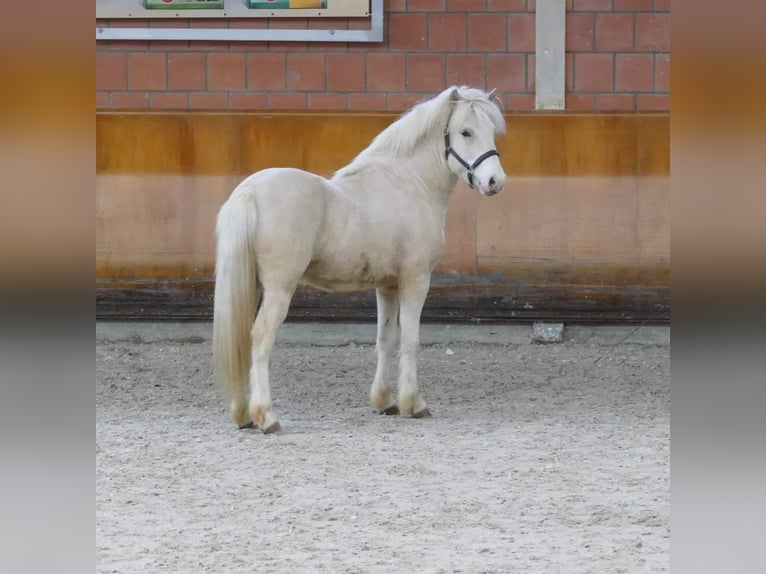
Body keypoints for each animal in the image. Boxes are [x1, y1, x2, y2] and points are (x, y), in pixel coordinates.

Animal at [213, 85, 507, 433]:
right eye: (466, 132)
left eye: (492, 131)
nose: (495, 181)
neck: (410, 184)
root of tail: (249, 194)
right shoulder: (416, 280)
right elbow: (411, 340)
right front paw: (414, 404)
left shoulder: (387, 286)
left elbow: (385, 339)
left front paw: (385, 401)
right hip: (279, 289)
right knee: (260, 338)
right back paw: (267, 416)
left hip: (253, 285)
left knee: (241, 340)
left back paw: (243, 414)